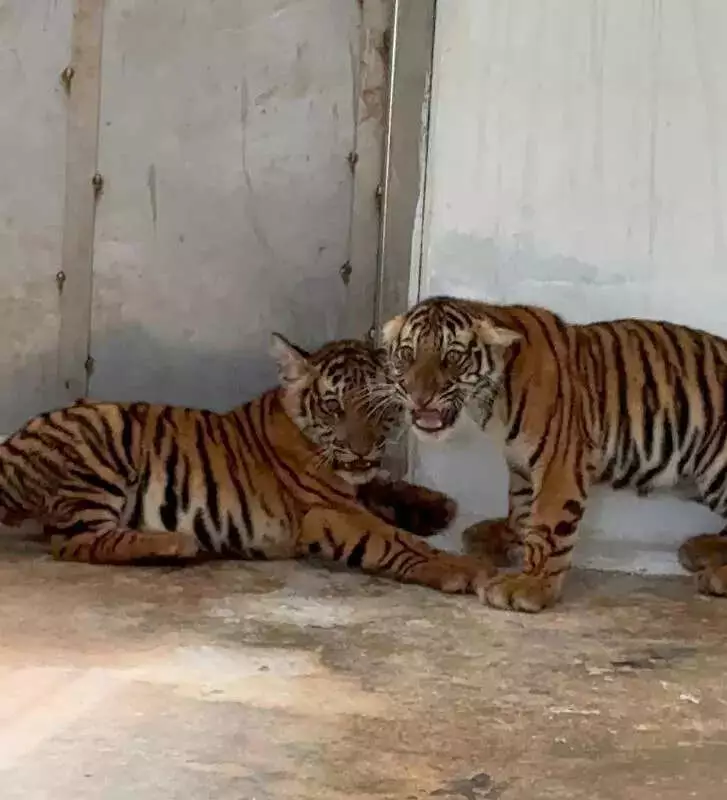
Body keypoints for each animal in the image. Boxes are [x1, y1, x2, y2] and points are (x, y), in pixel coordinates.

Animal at [0, 333, 494, 595]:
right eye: (334, 407)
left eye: (381, 410)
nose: (362, 449)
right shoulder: (329, 512)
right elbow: (399, 541)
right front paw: (465, 569)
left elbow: (383, 487)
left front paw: (436, 506)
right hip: (100, 442)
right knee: (75, 542)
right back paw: (172, 544)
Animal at [381, 294, 727, 612]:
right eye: (407, 354)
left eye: (452, 356)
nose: (419, 397)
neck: (491, 397)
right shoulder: (520, 463)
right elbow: (521, 509)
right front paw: (505, 538)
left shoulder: (559, 462)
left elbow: (547, 523)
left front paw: (529, 585)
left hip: (714, 465)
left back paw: (716, 573)